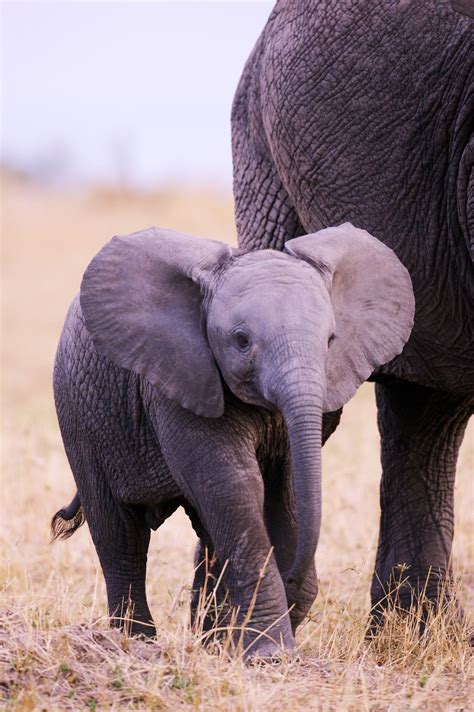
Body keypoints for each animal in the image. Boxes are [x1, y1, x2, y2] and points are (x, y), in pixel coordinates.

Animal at [51, 224, 413, 659]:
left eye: (330, 340)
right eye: (241, 341)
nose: (293, 578)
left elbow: (286, 491)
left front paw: (245, 645)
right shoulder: (181, 379)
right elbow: (234, 484)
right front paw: (269, 655)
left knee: (205, 534)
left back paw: (211, 643)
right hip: (79, 413)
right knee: (120, 535)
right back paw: (135, 644)